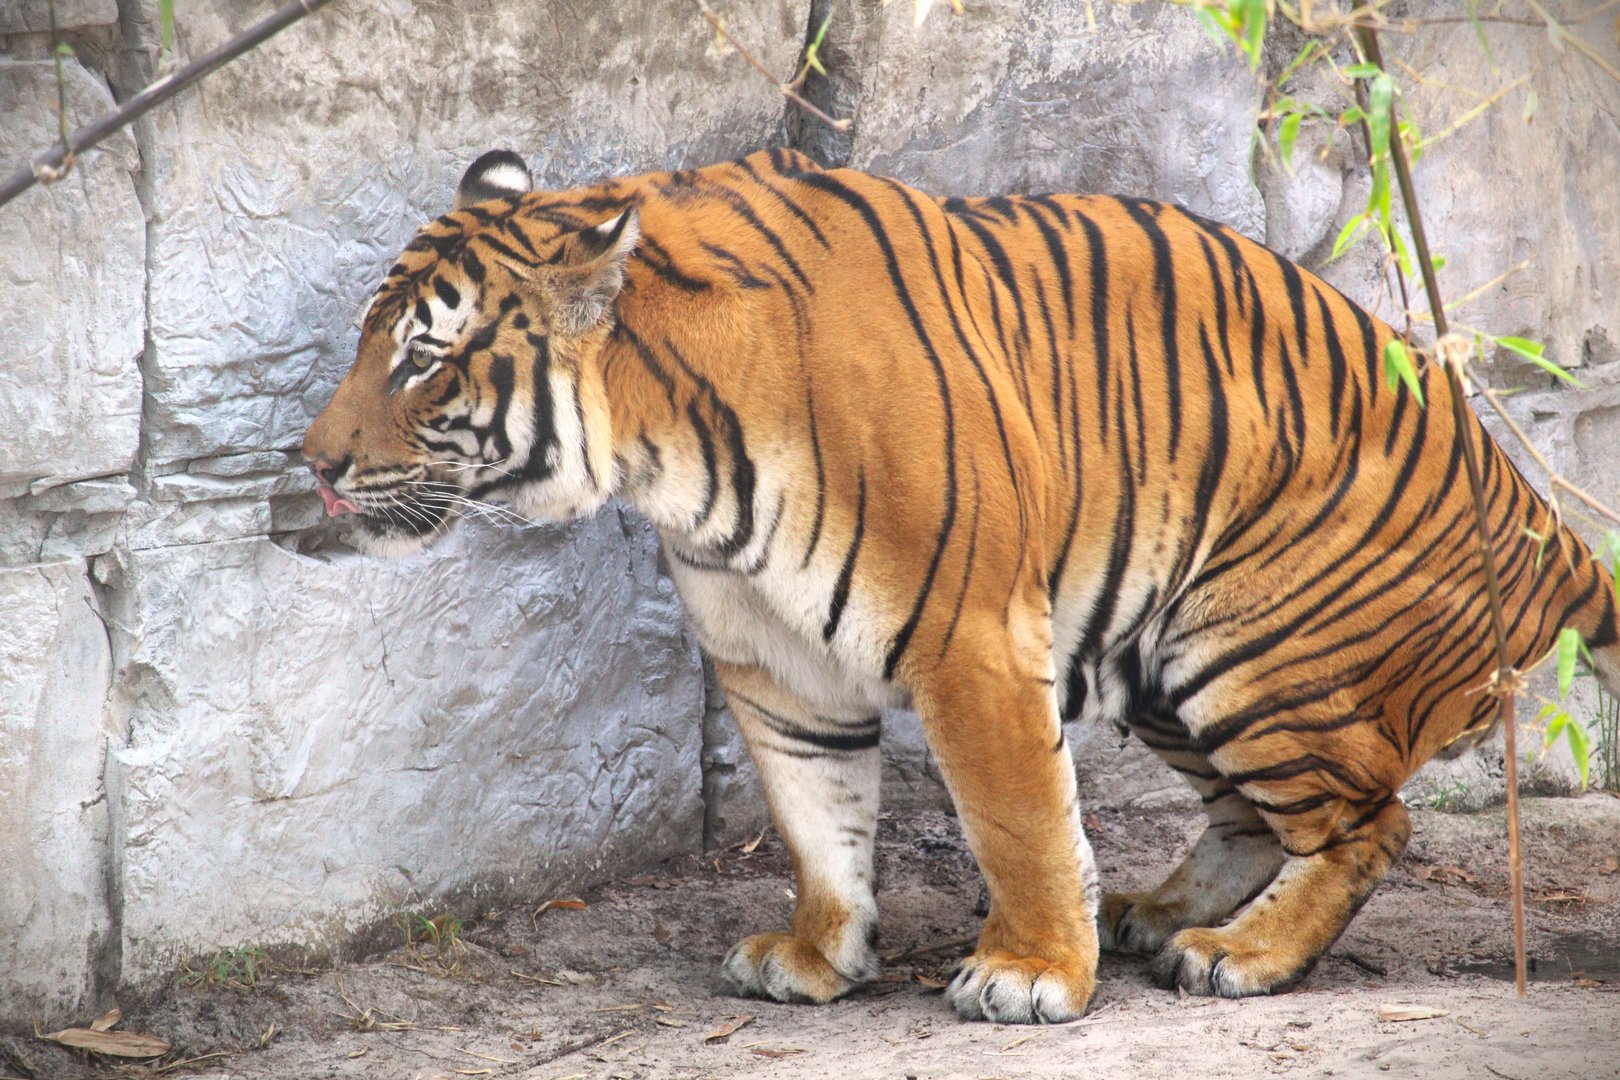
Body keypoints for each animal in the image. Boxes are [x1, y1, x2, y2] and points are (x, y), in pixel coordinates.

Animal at [302, 146, 1620, 1024]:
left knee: (1369, 822)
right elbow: (815, 818)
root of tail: (1541, 524)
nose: (312, 464)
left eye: (421, 360)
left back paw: (1238, 956)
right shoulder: (770, 660)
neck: (666, 452)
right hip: (1158, 650)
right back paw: (1159, 915)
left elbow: (1015, 817)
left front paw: (1032, 972)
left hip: (1252, 642)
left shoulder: (971, 634)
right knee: (1261, 814)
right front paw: (818, 956)